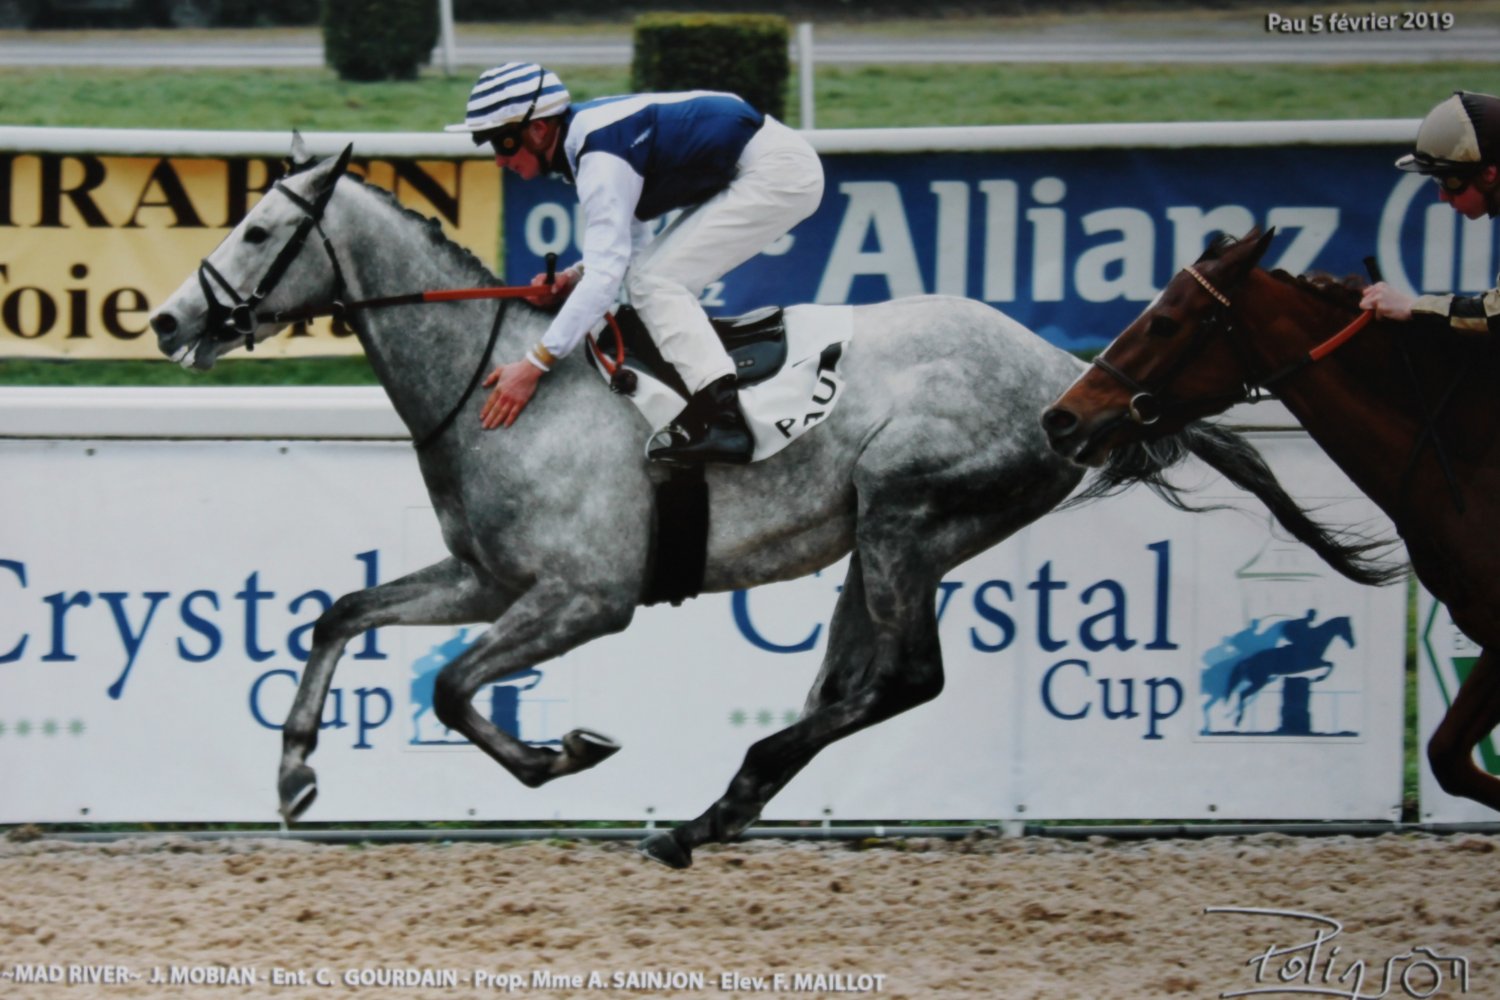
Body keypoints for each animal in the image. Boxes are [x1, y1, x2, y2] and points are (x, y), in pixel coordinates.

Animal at [147, 144, 1394, 867]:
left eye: (260, 231)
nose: (167, 318)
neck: (505, 378)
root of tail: (1066, 375)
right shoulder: (486, 577)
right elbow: (342, 614)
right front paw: (295, 771)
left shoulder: (586, 596)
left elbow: (454, 689)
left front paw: (565, 753)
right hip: (888, 543)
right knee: (849, 683)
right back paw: (718, 813)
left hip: (905, 514)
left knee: (904, 678)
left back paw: (722, 800)